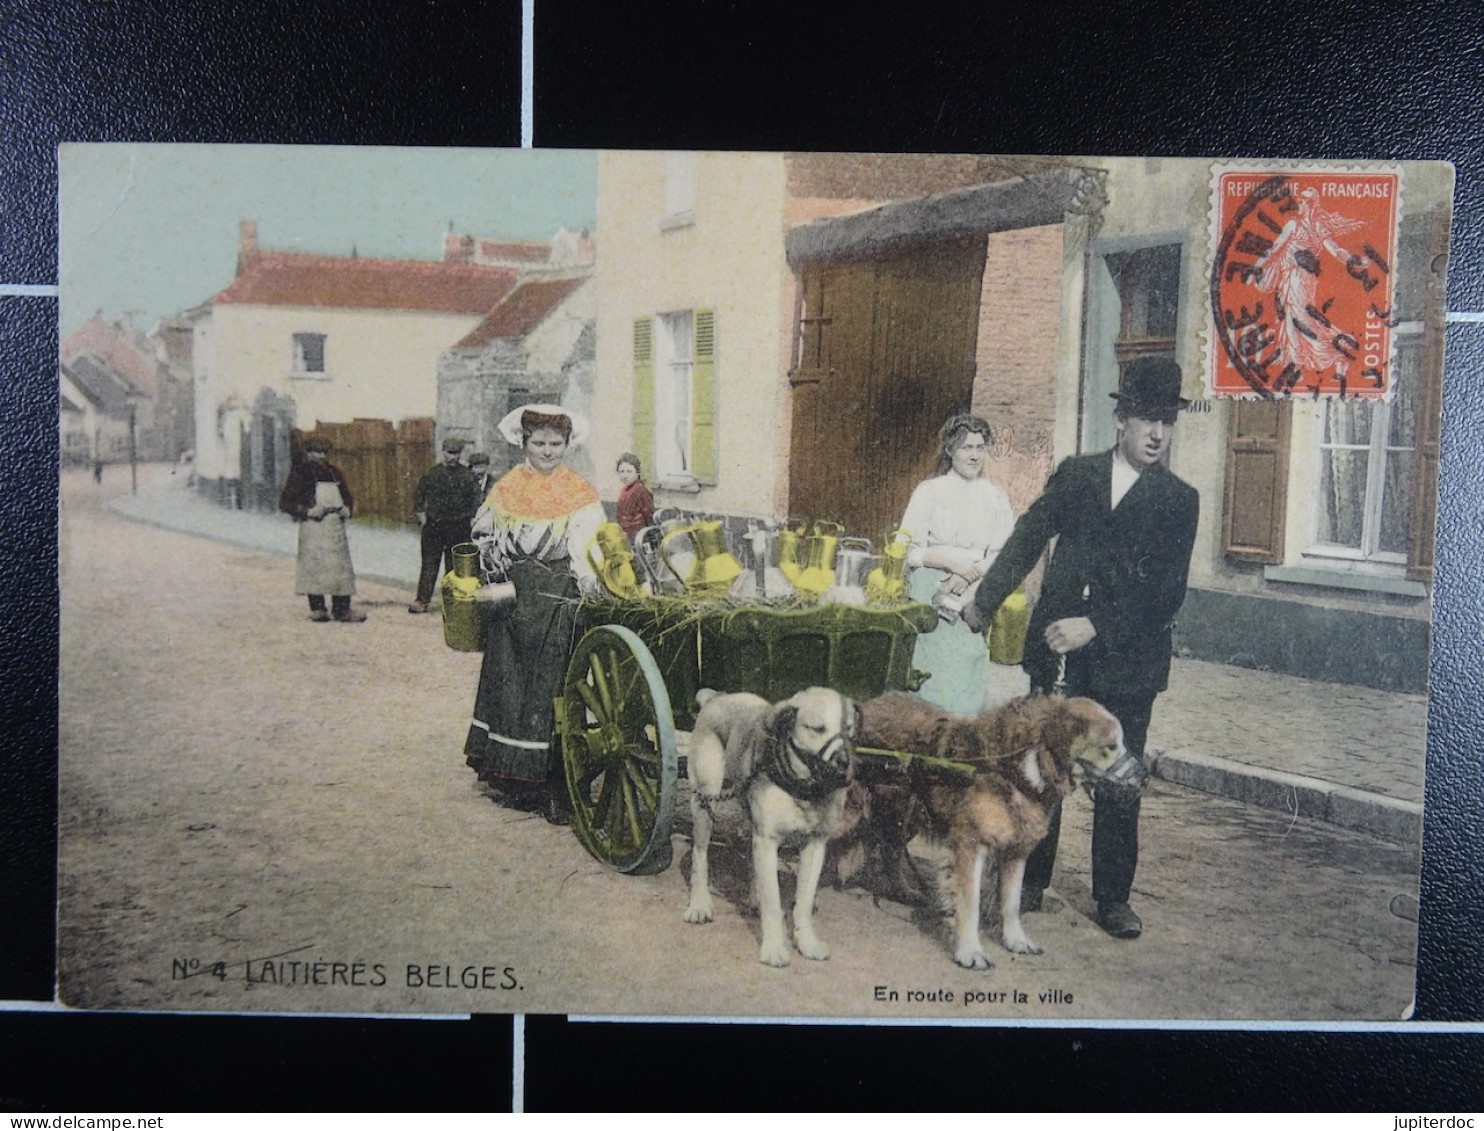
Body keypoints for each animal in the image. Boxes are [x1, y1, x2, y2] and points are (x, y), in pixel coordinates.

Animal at [682, 682, 860, 967]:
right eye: (817, 729)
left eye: (850, 734)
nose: (844, 764)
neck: (803, 790)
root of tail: (716, 697)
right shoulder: (768, 842)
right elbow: (774, 903)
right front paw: (775, 947)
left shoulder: (815, 846)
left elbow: (803, 902)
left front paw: (806, 941)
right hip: (703, 801)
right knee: (700, 856)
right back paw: (699, 904)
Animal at [848, 691, 1121, 967]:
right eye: (1111, 747)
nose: (1134, 779)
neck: (1015, 768)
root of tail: (869, 704)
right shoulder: (969, 846)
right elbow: (970, 902)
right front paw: (969, 951)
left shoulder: (1015, 851)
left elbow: (1012, 902)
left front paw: (1016, 940)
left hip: (907, 814)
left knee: (891, 851)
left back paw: (904, 892)